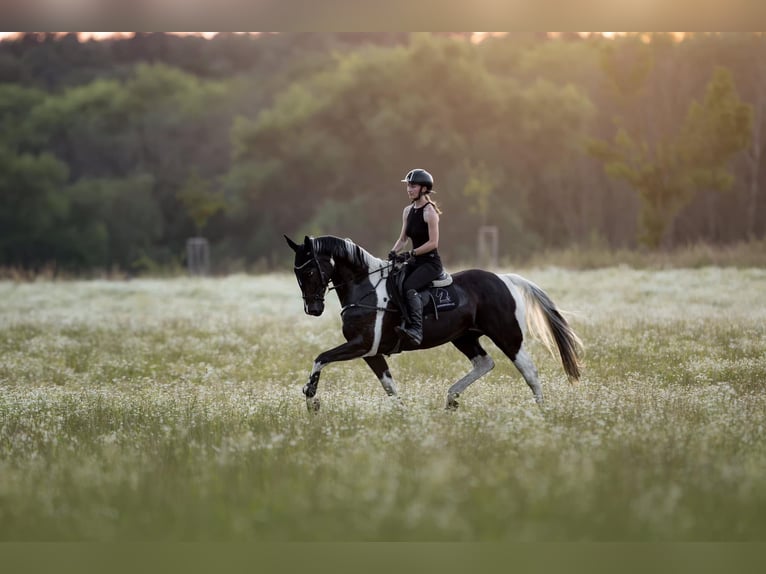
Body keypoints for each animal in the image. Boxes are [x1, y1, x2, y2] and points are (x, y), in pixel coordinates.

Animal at [286, 235, 584, 414]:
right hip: (464, 337)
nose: (313, 309)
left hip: (507, 336)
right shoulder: (371, 352)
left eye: (310, 270)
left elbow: (321, 357)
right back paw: (451, 399)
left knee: (529, 372)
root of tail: (504, 279)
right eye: (297, 273)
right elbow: (389, 386)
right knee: (484, 363)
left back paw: (541, 413)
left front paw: (311, 398)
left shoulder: (361, 345)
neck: (365, 286)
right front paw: (404, 416)